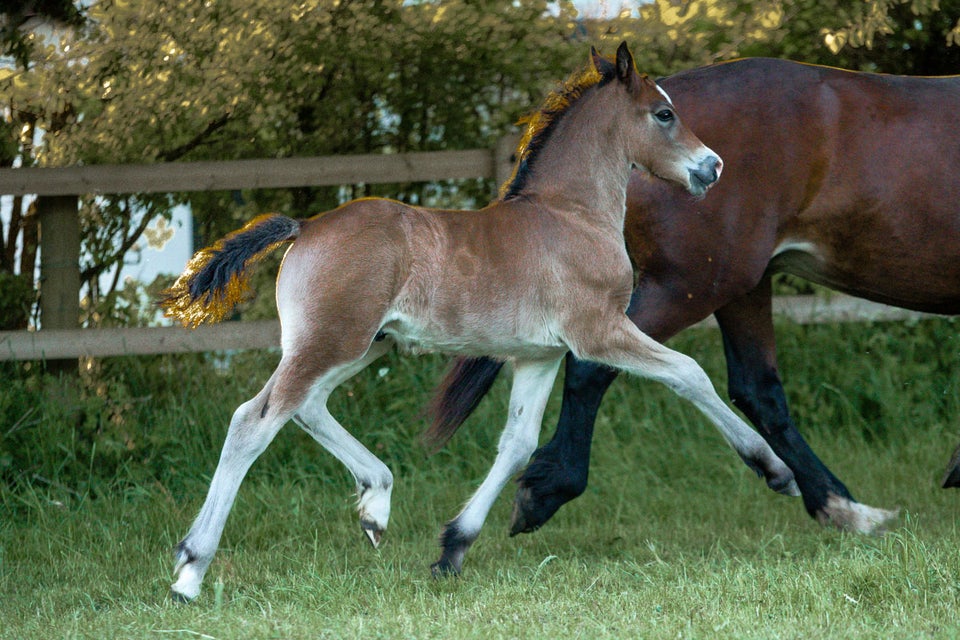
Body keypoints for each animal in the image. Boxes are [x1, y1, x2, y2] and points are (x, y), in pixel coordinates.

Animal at [158, 42, 792, 604]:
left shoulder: (539, 355)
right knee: (254, 421)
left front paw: (453, 548)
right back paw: (190, 571)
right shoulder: (599, 331)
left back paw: (377, 505)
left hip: (360, 345)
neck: (571, 215)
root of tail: (305, 227)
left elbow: (517, 443)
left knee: (304, 407)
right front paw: (773, 468)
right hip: (332, 342)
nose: (712, 167)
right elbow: (689, 373)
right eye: (664, 114)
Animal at [432, 58, 956, 540]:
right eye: (663, 117)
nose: (710, 168)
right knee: (598, 366)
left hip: (738, 288)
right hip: (694, 285)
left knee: (756, 389)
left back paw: (835, 504)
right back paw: (547, 489)